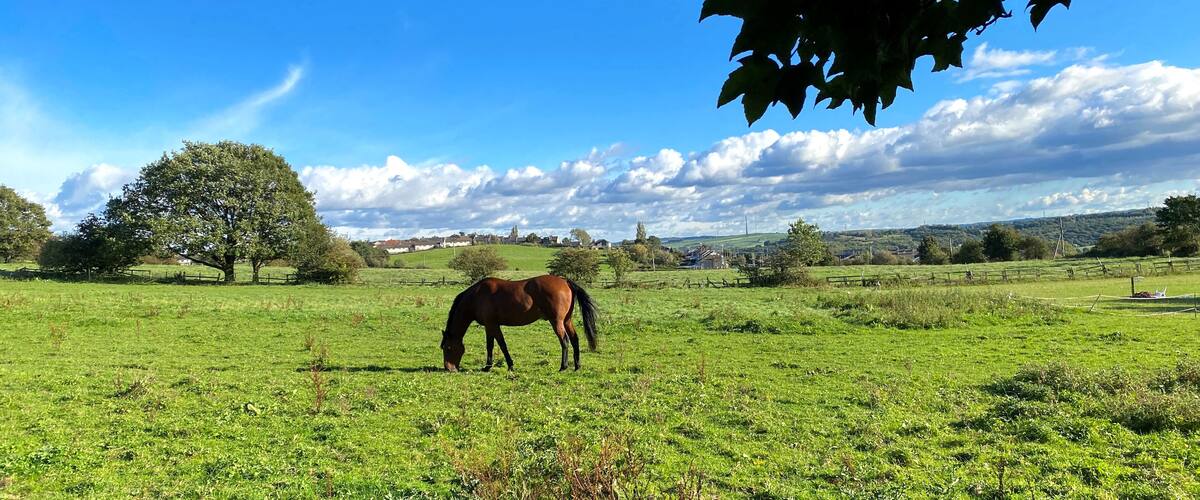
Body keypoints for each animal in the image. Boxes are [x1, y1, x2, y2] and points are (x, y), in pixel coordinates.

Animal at [440, 275, 598, 372]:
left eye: (448, 348)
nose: (449, 368)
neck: (477, 296)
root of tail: (565, 282)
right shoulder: (489, 326)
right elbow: (490, 345)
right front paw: (488, 366)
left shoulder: (492, 325)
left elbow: (501, 345)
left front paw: (509, 365)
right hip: (566, 320)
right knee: (574, 339)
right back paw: (577, 366)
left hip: (557, 322)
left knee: (564, 341)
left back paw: (563, 367)